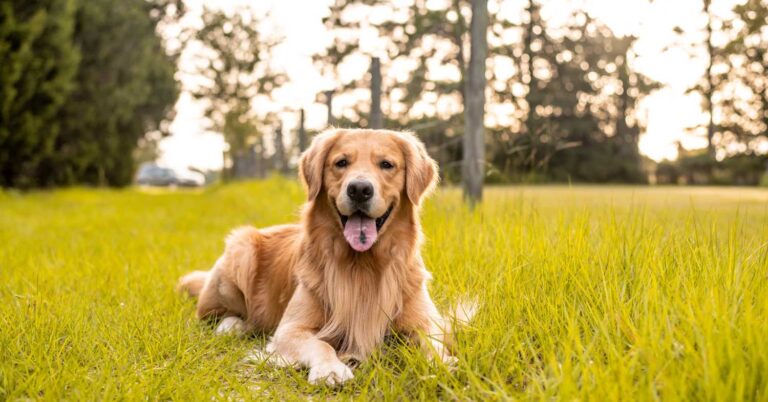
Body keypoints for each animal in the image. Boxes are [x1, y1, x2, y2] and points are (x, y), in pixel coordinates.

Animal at [177, 130, 460, 386]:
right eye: (341, 162)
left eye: (387, 164)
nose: (359, 189)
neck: (362, 265)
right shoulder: (290, 329)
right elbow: (321, 345)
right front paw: (330, 369)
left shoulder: (427, 323)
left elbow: (433, 344)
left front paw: (442, 365)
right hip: (241, 248)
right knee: (218, 315)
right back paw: (233, 326)